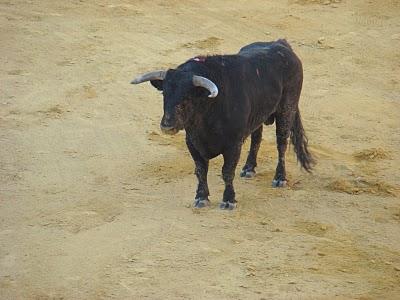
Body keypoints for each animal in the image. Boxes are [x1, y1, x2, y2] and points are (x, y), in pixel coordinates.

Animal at [133, 39, 314, 209]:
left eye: (187, 97)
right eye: (164, 94)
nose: (167, 126)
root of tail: (281, 44)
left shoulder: (233, 145)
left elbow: (227, 172)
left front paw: (228, 200)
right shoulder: (192, 142)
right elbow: (200, 170)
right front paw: (201, 197)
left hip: (287, 109)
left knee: (281, 143)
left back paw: (279, 178)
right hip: (259, 114)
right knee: (257, 137)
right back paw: (249, 168)